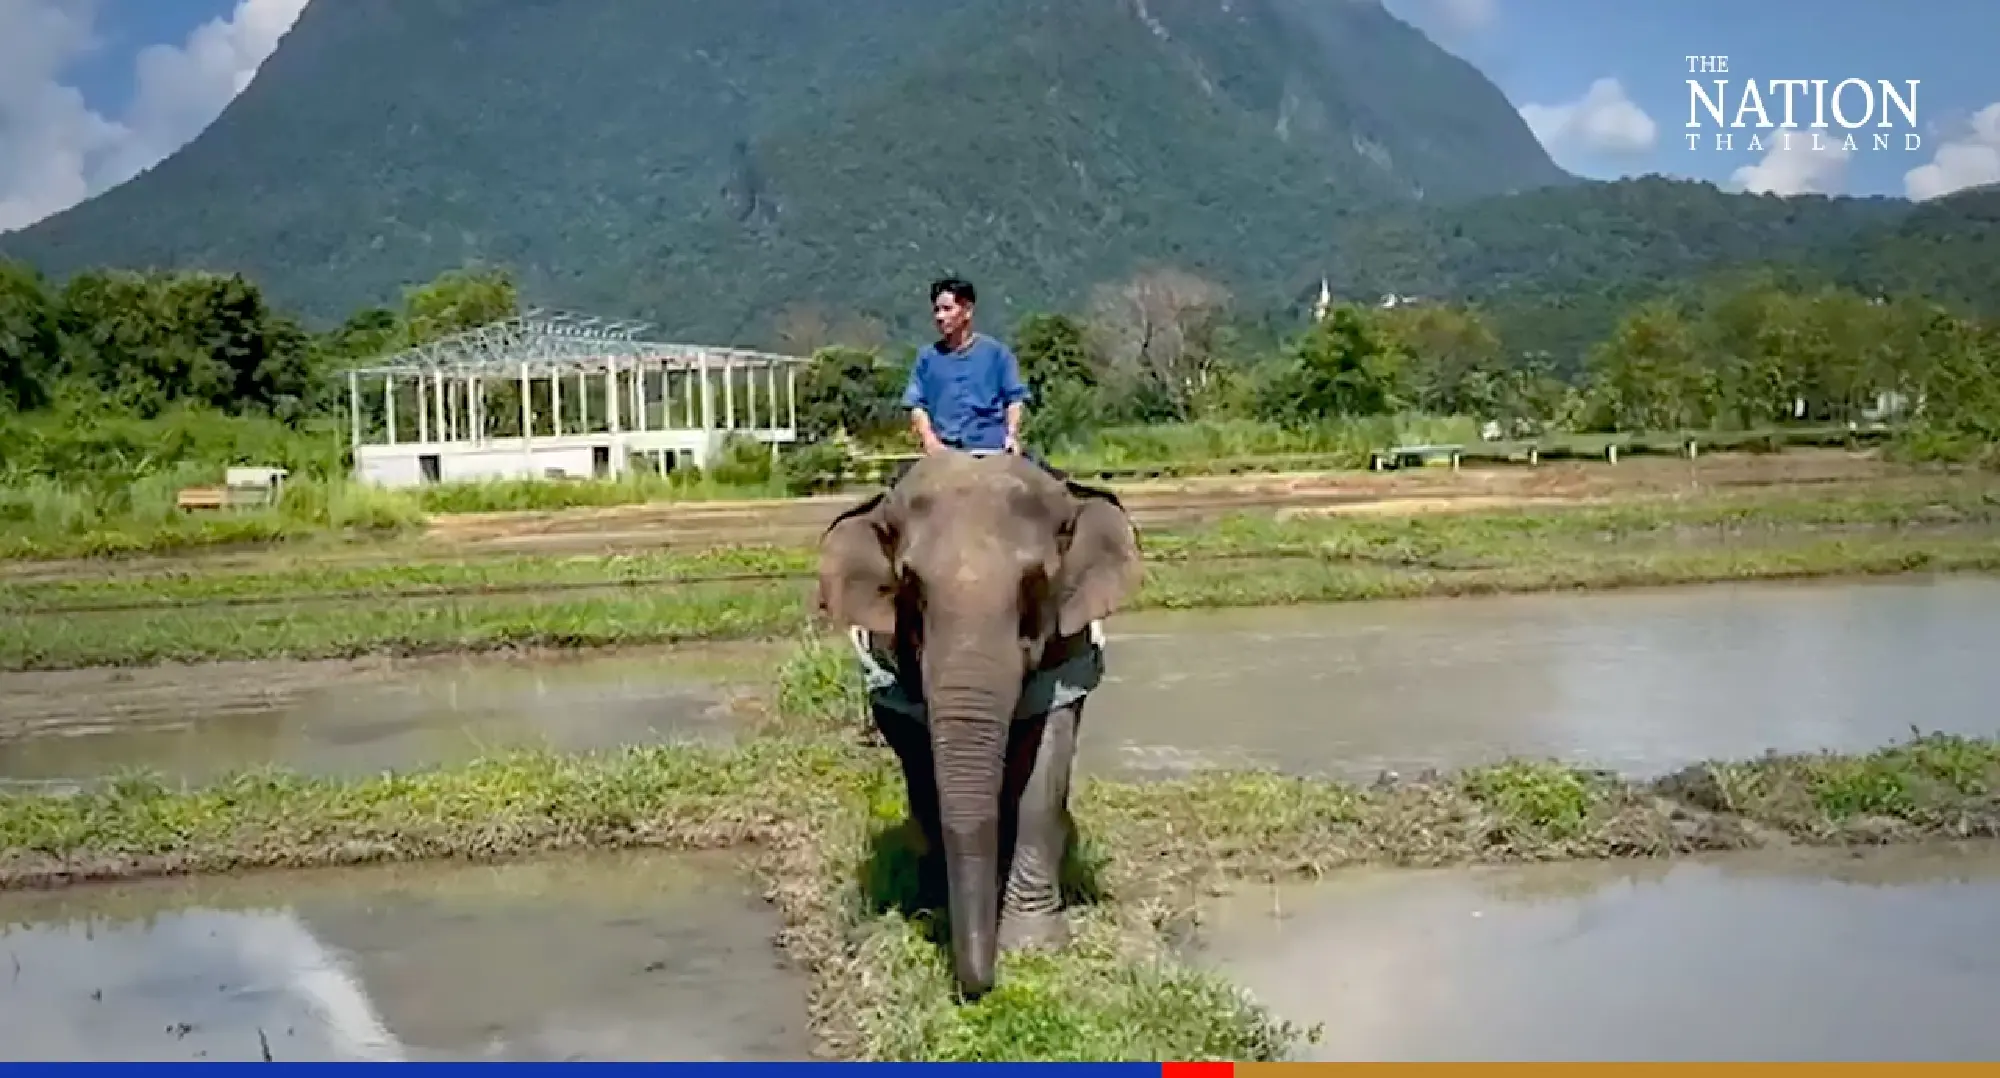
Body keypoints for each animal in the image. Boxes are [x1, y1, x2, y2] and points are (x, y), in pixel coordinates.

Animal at [815, 450, 1143, 999]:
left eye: (1034, 585)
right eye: (911, 587)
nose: (980, 989)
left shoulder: (1067, 650)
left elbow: (1043, 772)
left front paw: (1033, 945)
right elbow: (925, 767)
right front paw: (940, 916)